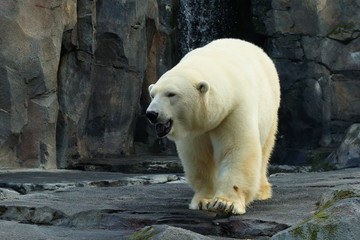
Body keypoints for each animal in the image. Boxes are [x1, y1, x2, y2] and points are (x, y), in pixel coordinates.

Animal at [145, 38, 280, 215]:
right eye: (152, 95)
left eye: (171, 94)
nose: (151, 114)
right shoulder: (195, 127)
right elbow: (199, 157)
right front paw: (203, 200)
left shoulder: (234, 109)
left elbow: (236, 149)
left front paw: (225, 203)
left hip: (271, 109)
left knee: (264, 150)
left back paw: (261, 192)